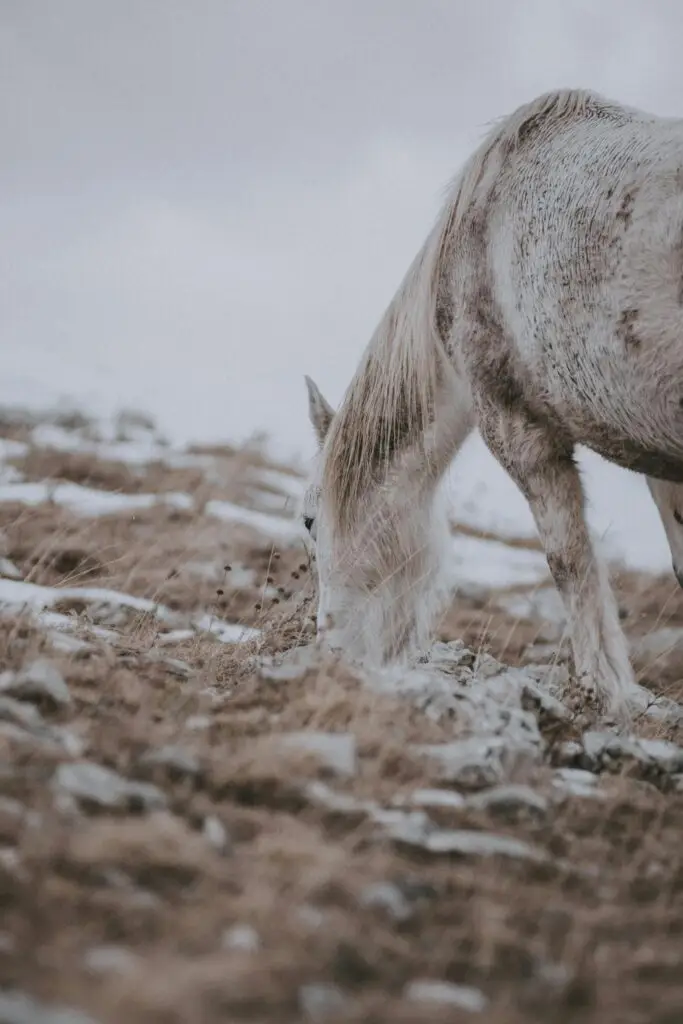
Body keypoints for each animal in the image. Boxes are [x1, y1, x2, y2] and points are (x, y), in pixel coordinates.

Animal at [300, 88, 683, 726]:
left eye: (309, 520)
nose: (328, 648)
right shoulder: (659, 460)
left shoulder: (517, 425)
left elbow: (569, 562)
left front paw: (606, 694)